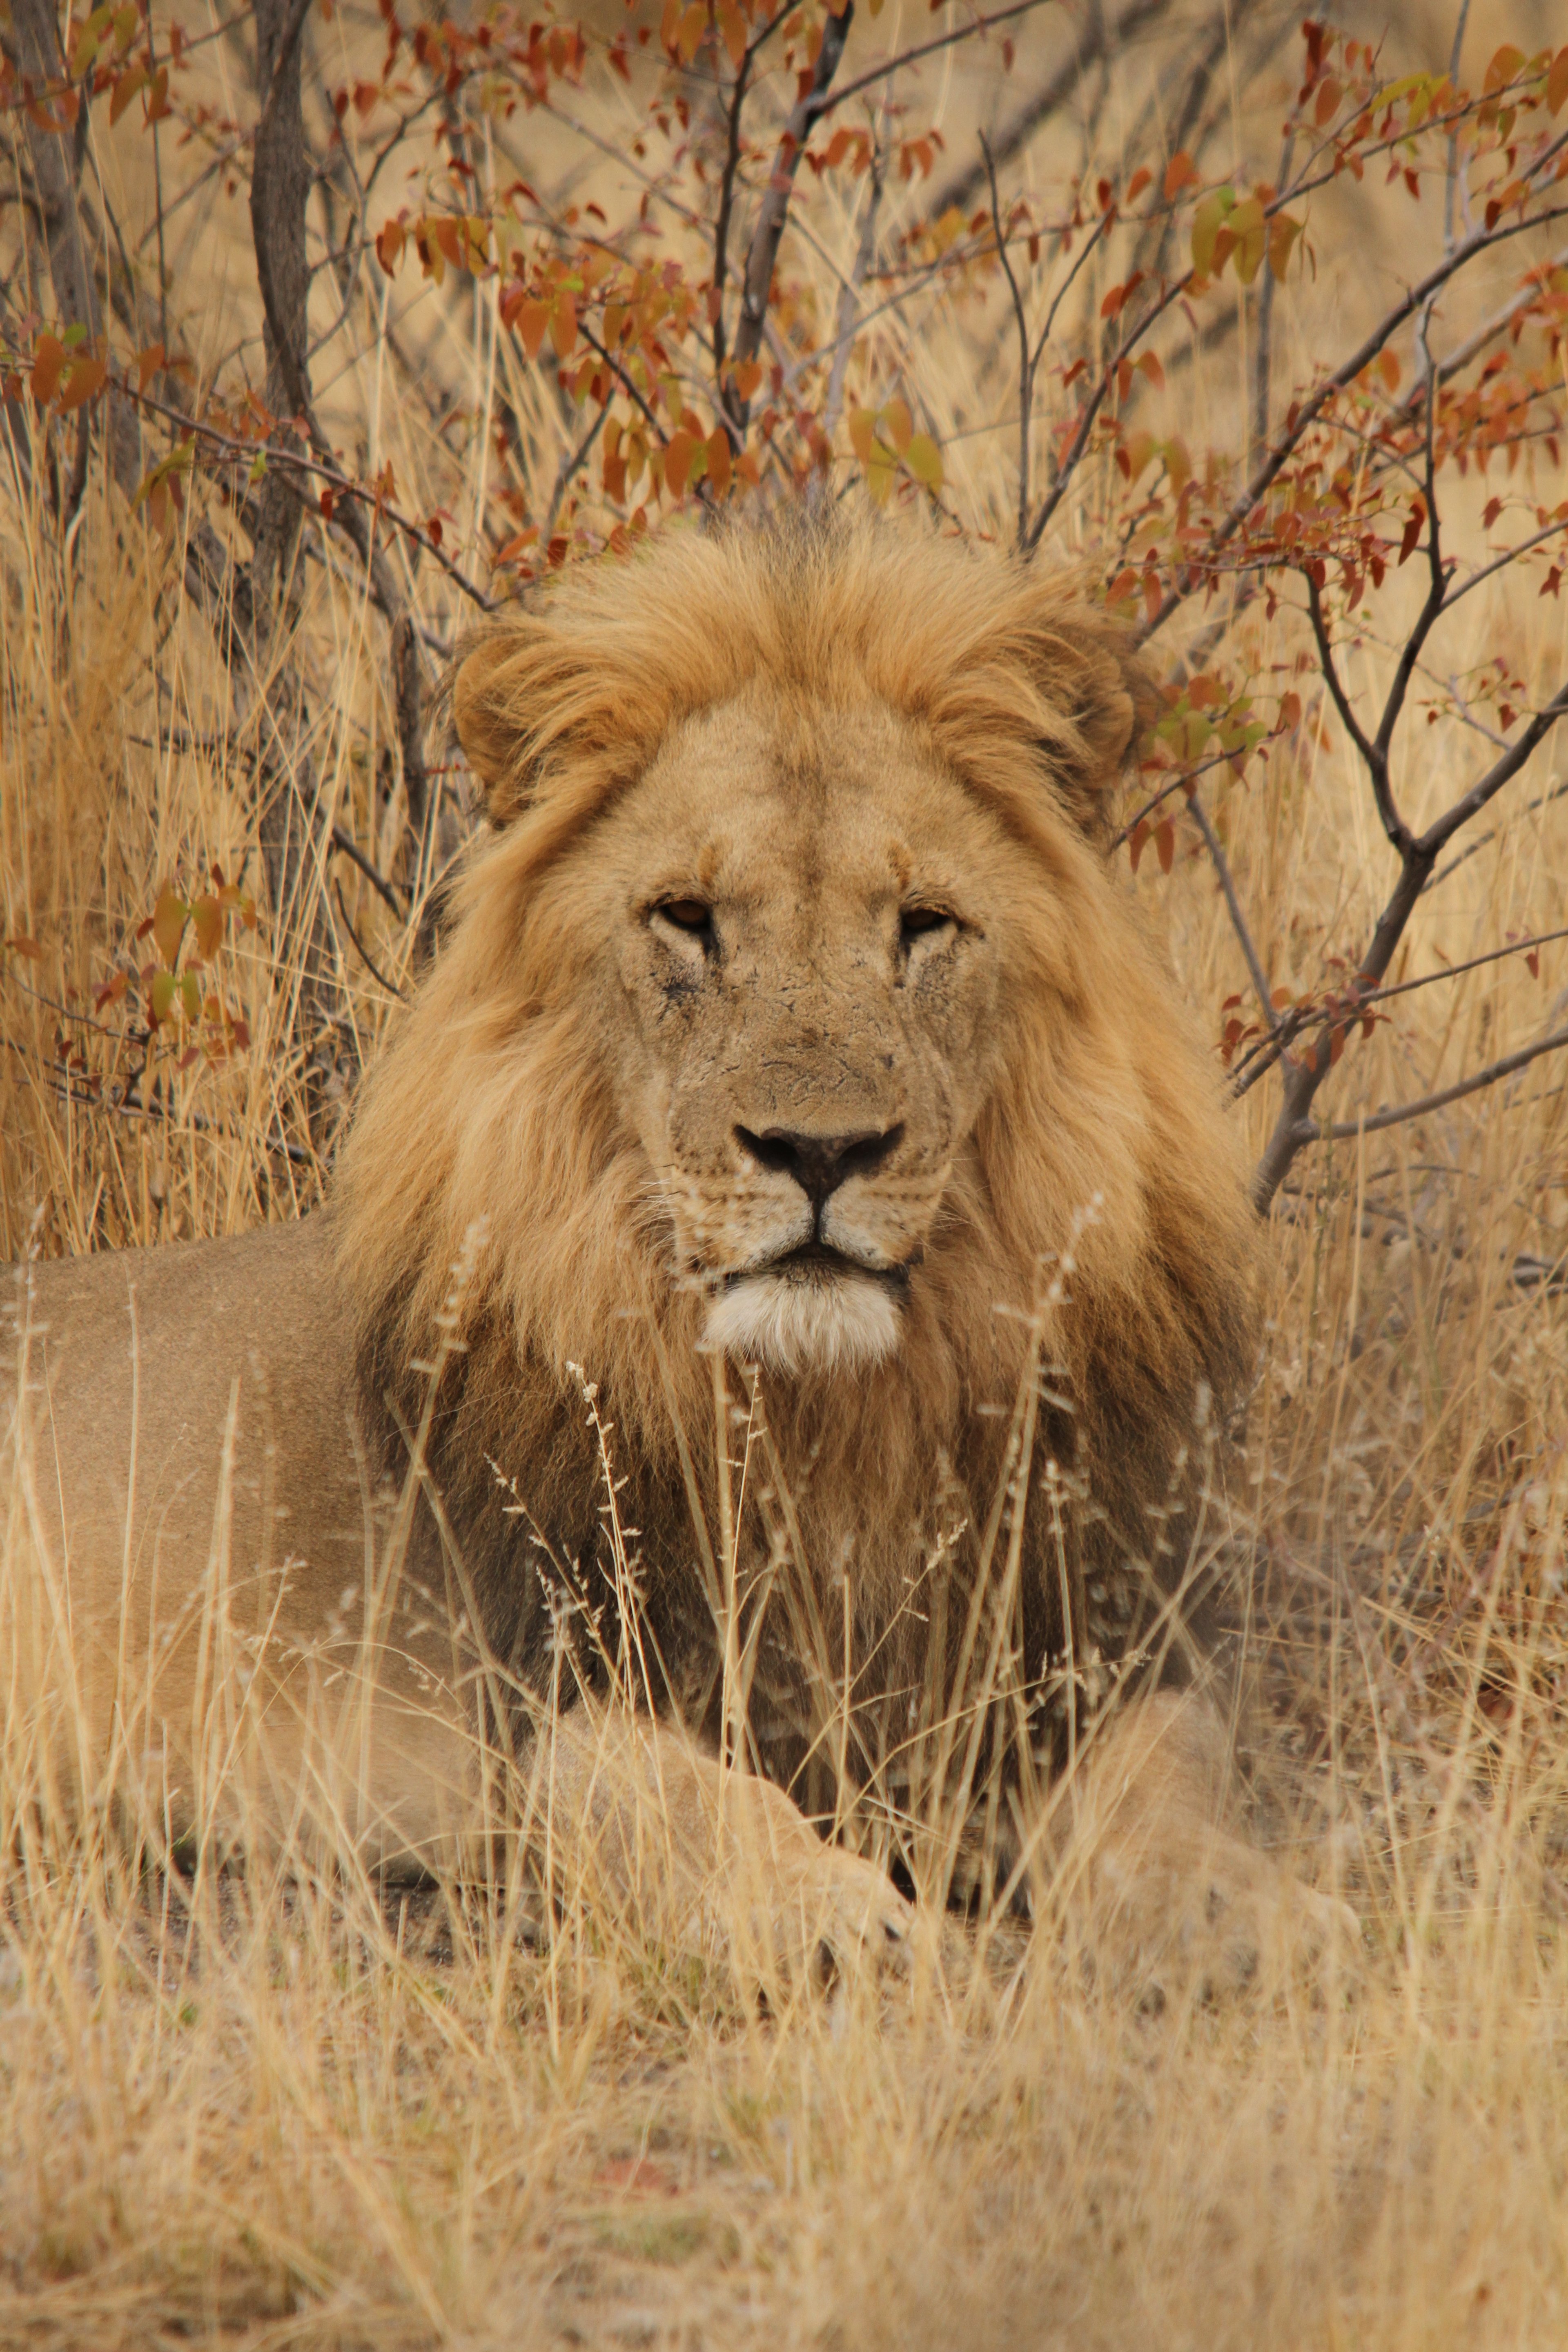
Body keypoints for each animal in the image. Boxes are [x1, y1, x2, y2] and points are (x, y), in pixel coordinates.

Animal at [2, 520, 1354, 1989]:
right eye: (688, 918)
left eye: (923, 924)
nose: (820, 1151)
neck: (839, 1430)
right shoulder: (536, 1697)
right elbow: (671, 1795)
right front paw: (836, 1916)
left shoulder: (1079, 1654)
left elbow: (1166, 1790)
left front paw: (1249, 1911)